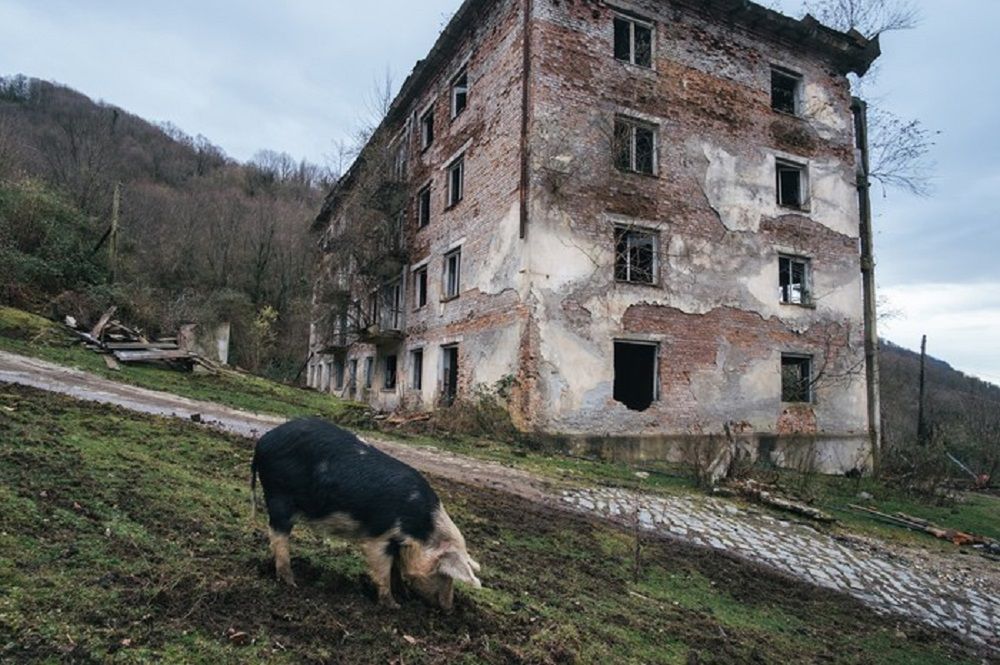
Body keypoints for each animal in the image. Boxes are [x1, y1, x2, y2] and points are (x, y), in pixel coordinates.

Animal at [252, 418, 482, 608]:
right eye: (444, 573)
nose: (449, 609)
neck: (422, 529)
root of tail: (263, 442)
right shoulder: (381, 534)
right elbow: (382, 569)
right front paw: (393, 606)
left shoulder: (398, 542)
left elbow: (396, 569)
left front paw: (405, 596)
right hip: (279, 496)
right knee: (278, 536)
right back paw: (291, 583)